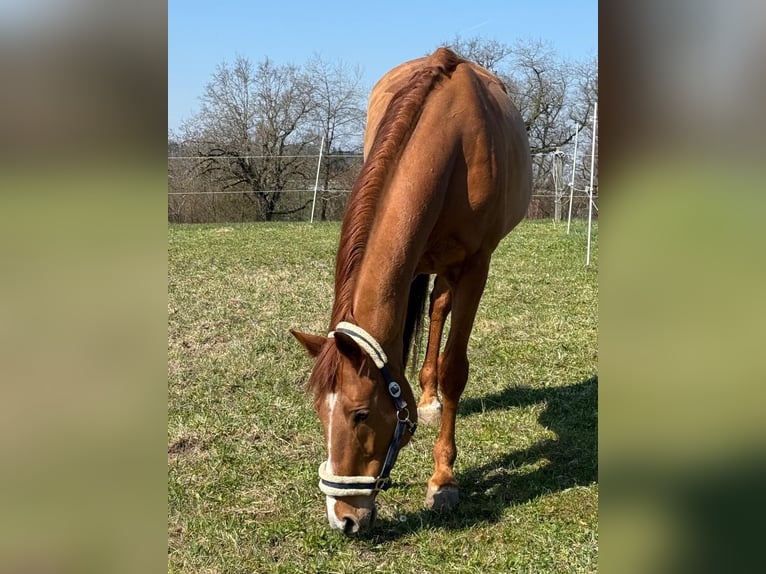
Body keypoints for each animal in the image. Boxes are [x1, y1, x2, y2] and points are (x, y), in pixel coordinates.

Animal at [291, 47, 531, 535]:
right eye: (320, 412)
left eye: (361, 414)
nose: (343, 519)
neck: (453, 143)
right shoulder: (413, 261)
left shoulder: (476, 266)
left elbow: (456, 368)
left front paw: (444, 480)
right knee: (436, 307)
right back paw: (427, 395)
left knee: (440, 310)